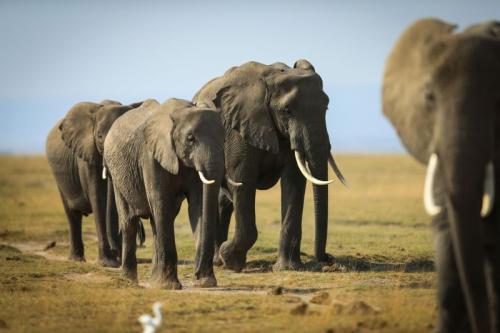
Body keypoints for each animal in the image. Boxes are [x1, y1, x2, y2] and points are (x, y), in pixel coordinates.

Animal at [46, 99, 143, 268]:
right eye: (99, 136)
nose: (115, 252)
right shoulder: (86, 154)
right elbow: (98, 199)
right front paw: (108, 263)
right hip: (60, 178)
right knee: (72, 214)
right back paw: (76, 259)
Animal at [193, 60, 346, 272]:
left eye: (326, 108)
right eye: (287, 111)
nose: (329, 259)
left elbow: (294, 182)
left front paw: (288, 267)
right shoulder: (239, 129)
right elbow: (243, 180)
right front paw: (231, 260)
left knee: (224, 201)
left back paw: (218, 259)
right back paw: (218, 260)